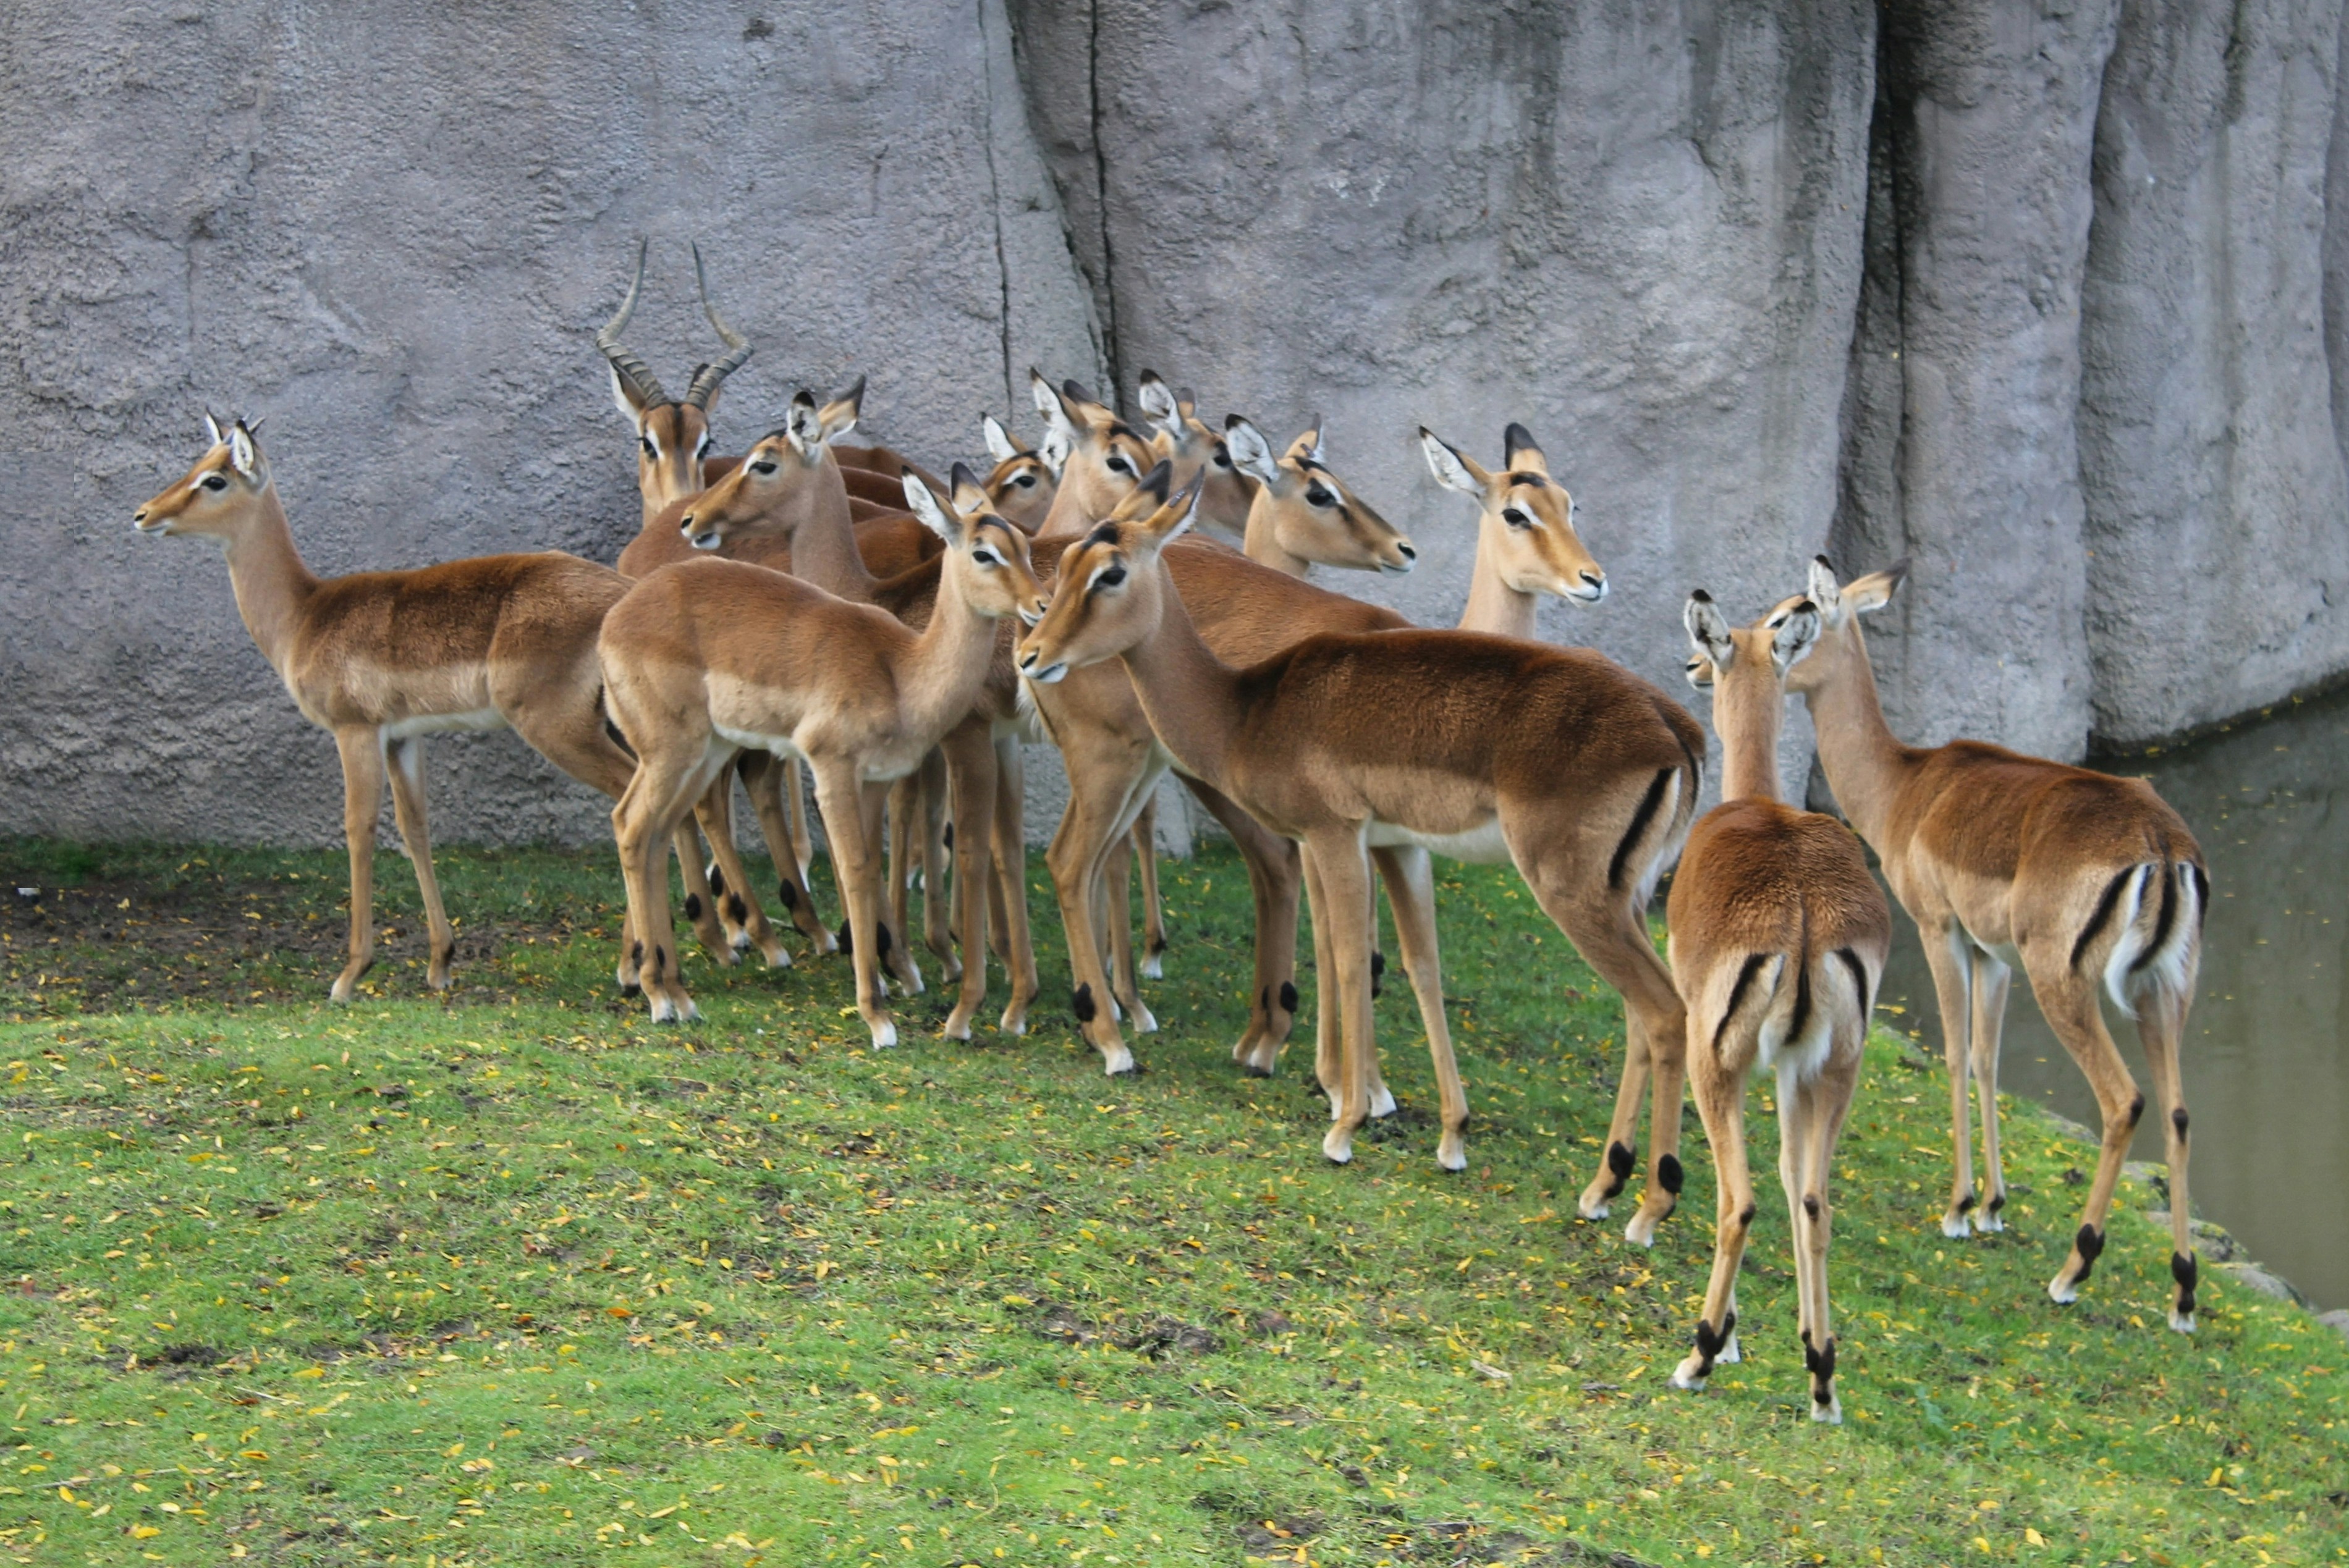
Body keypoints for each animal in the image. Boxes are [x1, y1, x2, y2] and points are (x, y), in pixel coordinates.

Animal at [131, 416, 660, 1002]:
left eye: (216, 479)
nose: (144, 515)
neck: (304, 615)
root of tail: (627, 594)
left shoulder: (355, 730)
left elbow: (358, 826)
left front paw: (349, 974)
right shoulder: (403, 736)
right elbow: (415, 827)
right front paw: (440, 963)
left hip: (559, 727)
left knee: (633, 805)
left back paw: (634, 969)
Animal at [600, 470, 1047, 1041]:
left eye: (1025, 547)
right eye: (983, 552)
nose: (1041, 604)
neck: (901, 671)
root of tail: (615, 618)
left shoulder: (876, 780)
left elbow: (875, 867)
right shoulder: (831, 770)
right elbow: (854, 868)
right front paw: (878, 1016)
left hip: (701, 756)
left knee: (656, 835)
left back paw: (679, 994)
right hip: (672, 752)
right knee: (632, 826)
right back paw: (660, 993)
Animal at [1016, 465, 1701, 1181]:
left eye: (1111, 573)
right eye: (1070, 564)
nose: (1033, 650)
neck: (1246, 705)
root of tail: (1675, 731)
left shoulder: (1333, 835)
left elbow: (1348, 959)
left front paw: (1346, 1122)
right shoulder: (1394, 846)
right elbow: (1415, 964)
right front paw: (1442, 1134)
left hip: (1576, 895)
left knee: (1662, 1011)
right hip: (1622, 902)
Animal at [1663, 590, 1891, 1423]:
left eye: (1716, 646)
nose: (1693, 667)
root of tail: (1802, 913)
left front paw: (1728, 1341)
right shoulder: (1794, 1072)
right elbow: (1799, 1185)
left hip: (1717, 1064)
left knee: (1739, 1200)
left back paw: (1696, 1358)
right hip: (1837, 1072)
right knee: (1815, 1201)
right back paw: (1824, 1379)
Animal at [1793, 558, 2207, 1330]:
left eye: (1792, 621)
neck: (1905, 786)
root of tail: (2161, 845)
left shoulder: (1939, 931)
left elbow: (1956, 1055)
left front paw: (1959, 1208)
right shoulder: (1993, 955)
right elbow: (1989, 1061)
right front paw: (1991, 1205)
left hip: (2067, 984)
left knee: (2124, 1101)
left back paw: (2071, 1273)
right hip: (2162, 990)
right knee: (2177, 1112)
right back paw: (2184, 1294)